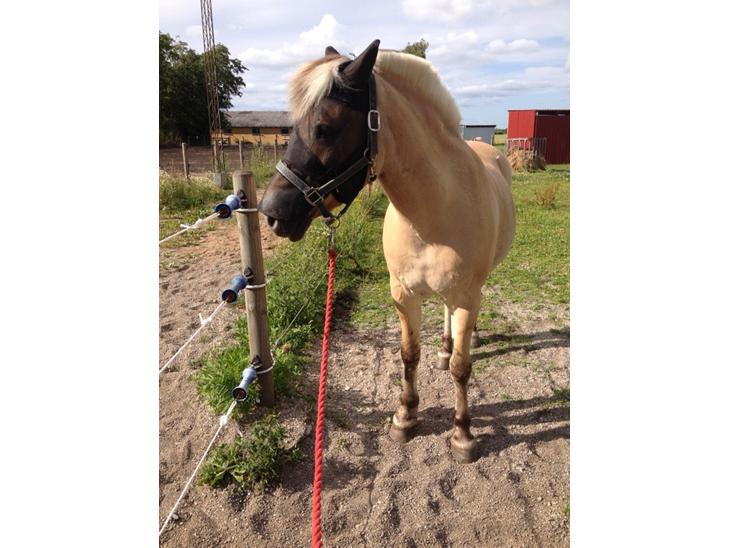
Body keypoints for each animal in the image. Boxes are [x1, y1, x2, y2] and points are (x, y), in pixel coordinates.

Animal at [259, 39, 516, 463]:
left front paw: (462, 433)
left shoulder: (465, 298)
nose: (272, 213)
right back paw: (443, 348)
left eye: (325, 128)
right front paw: (405, 417)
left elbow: (462, 369)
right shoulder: (403, 294)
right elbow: (409, 354)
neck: (433, 212)